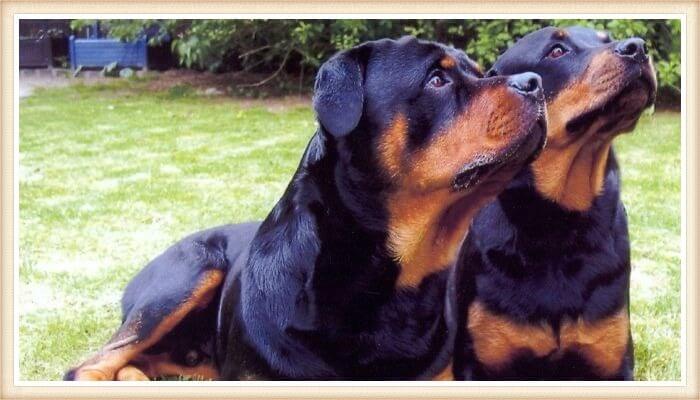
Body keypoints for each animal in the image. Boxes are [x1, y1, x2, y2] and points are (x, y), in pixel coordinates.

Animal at [452, 26, 660, 380]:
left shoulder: (613, 362)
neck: (558, 224)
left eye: (606, 39)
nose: (638, 47)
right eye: (557, 51)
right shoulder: (479, 364)